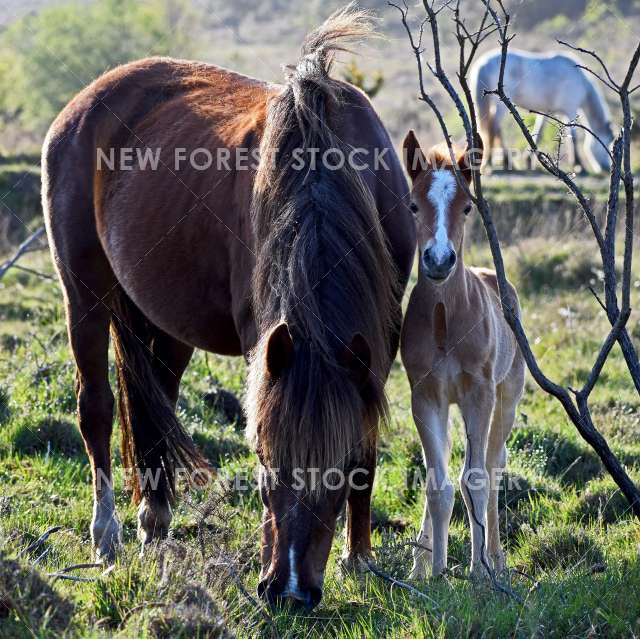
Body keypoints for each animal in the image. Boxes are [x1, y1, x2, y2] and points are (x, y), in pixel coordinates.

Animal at [43, 7, 416, 612]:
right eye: (263, 463)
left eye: (335, 474)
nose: (288, 592)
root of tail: (87, 100)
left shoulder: (380, 338)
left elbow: (366, 442)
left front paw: (359, 558)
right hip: (85, 297)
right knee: (96, 408)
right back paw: (107, 536)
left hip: (164, 318)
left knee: (154, 402)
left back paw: (155, 522)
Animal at [400, 132, 524, 576]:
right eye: (412, 205)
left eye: (468, 207)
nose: (439, 260)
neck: (445, 321)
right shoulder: (426, 396)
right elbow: (437, 484)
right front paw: (435, 573)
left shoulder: (479, 393)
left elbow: (476, 478)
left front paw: (479, 572)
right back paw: (421, 561)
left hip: (508, 397)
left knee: (494, 463)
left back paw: (497, 558)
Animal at [470, 48, 616, 172]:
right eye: (608, 143)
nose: (606, 168)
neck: (581, 82)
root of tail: (483, 64)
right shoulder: (570, 110)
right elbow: (573, 138)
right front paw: (579, 166)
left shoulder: (546, 112)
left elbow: (538, 134)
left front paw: (529, 161)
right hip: (500, 107)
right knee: (493, 129)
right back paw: (493, 162)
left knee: (496, 130)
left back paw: (506, 162)